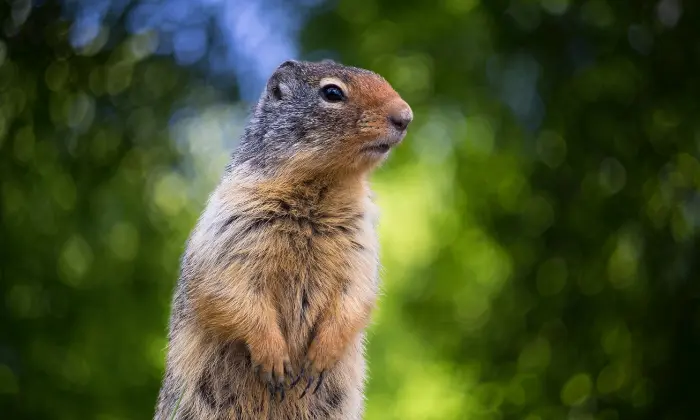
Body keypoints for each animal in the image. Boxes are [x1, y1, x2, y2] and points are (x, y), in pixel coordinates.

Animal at [154, 60, 410, 420]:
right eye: (332, 92)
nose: (406, 116)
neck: (322, 188)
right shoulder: (232, 228)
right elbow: (230, 289)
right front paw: (275, 360)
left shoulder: (361, 244)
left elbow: (356, 295)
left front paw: (318, 359)